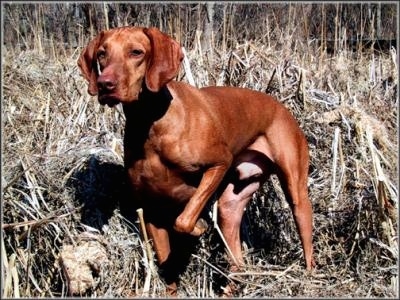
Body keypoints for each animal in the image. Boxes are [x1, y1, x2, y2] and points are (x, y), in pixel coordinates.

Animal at [77, 25, 316, 296]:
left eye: (136, 52)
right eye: (102, 54)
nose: (105, 84)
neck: (151, 123)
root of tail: (282, 106)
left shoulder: (219, 163)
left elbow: (183, 220)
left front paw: (199, 227)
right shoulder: (151, 212)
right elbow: (166, 264)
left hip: (296, 192)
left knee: (306, 236)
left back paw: (308, 278)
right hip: (230, 207)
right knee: (237, 261)